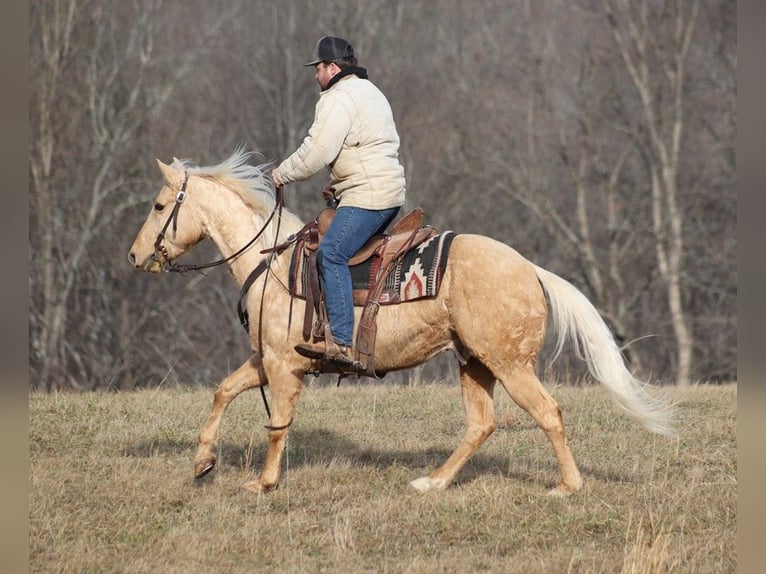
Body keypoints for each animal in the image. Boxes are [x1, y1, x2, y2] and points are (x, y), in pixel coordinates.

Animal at [129, 151, 676, 498]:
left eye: (158, 206)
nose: (135, 256)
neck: (272, 262)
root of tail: (531, 269)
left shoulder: (284, 368)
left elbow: (277, 426)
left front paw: (262, 483)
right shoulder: (266, 361)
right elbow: (223, 391)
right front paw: (203, 462)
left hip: (511, 365)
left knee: (548, 413)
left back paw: (566, 486)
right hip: (474, 363)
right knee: (482, 424)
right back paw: (433, 482)